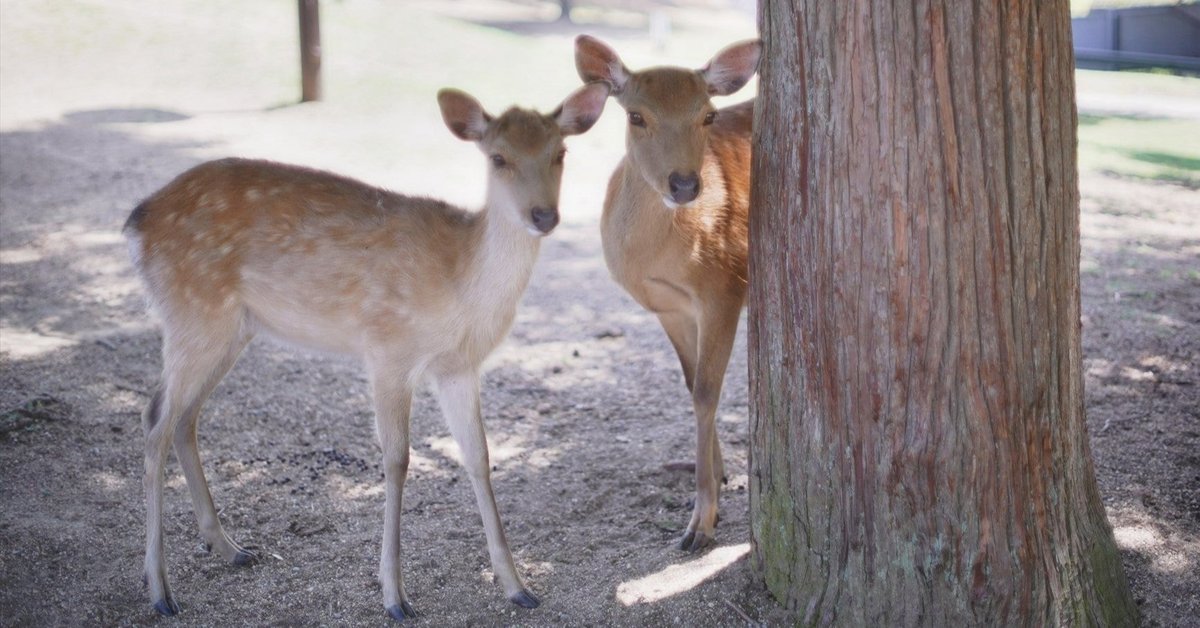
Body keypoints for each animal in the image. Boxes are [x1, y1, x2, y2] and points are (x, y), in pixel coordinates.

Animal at [126, 81, 609, 619]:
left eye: (560, 153)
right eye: (498, 157)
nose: (543, 216)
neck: (460, 284)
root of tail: (138, 222)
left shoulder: (458, 366)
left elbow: (480, 456)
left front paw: (518, 586)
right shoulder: (387, 350)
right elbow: (397, 460)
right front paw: (395, 595)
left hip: (229, 329)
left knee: (185, 418)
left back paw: (230, 548)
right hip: (192, 313)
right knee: (155, 419)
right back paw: (159, 588)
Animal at [576, 36, 763, 552]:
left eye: (708, 115)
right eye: (636, 116)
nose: (684, 184)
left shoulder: (724, 286)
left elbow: (707, 390)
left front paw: (700, 523)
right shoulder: (668, 307)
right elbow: (691, 381)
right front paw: (720, 476)